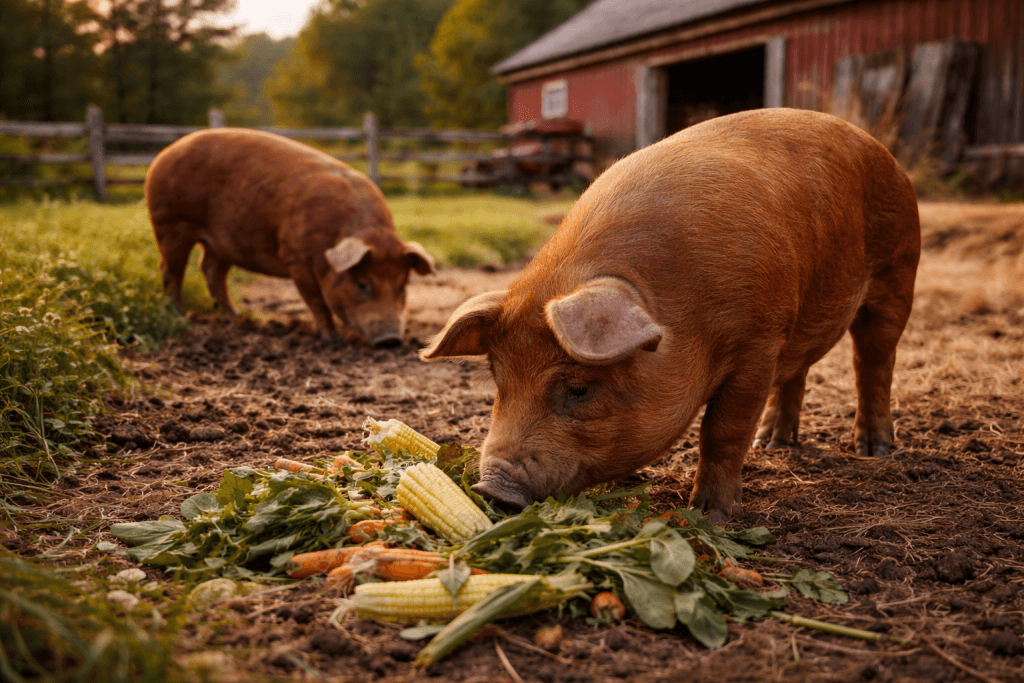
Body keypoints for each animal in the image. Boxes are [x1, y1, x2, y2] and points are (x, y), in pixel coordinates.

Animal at [145, 128, 436, 346]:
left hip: (223, 241)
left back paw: (238, 317)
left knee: (210, 269)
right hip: (170, 222)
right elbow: (317, 301)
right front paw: (332, 340)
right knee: (171, 269)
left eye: (402, 286)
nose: (391, 340)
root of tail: (164, 153)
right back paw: (181, 316)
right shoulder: (295, 257)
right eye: (363, 284)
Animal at [421, 108, 921, 522]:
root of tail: (881, 149)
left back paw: (875, 450)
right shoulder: (773, 334)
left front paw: (710, 516)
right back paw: (775, 443)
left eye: (579, 388)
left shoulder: (758, 341)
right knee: (799, 370)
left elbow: (722, 430)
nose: (491, 488)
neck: (683, 312)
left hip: (898, 270)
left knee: (874, 361)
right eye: (498, 380)